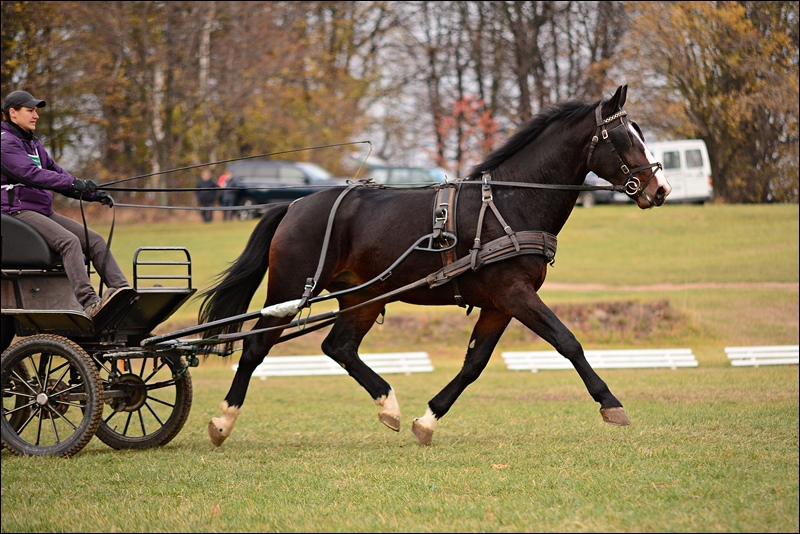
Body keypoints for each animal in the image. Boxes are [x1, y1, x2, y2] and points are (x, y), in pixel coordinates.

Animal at [198, 87, 668, 448]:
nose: (660, 189)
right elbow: (567, 342)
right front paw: (611, 403)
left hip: (364, 294)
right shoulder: (515, 293)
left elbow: (474, 364)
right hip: (293, 289)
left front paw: (428, 420)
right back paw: (223, 421)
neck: (509, 201)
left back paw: (388, 404)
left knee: (339, 347)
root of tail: (295, 203)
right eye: (624, 138)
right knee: (255, 348)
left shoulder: (499, 303)